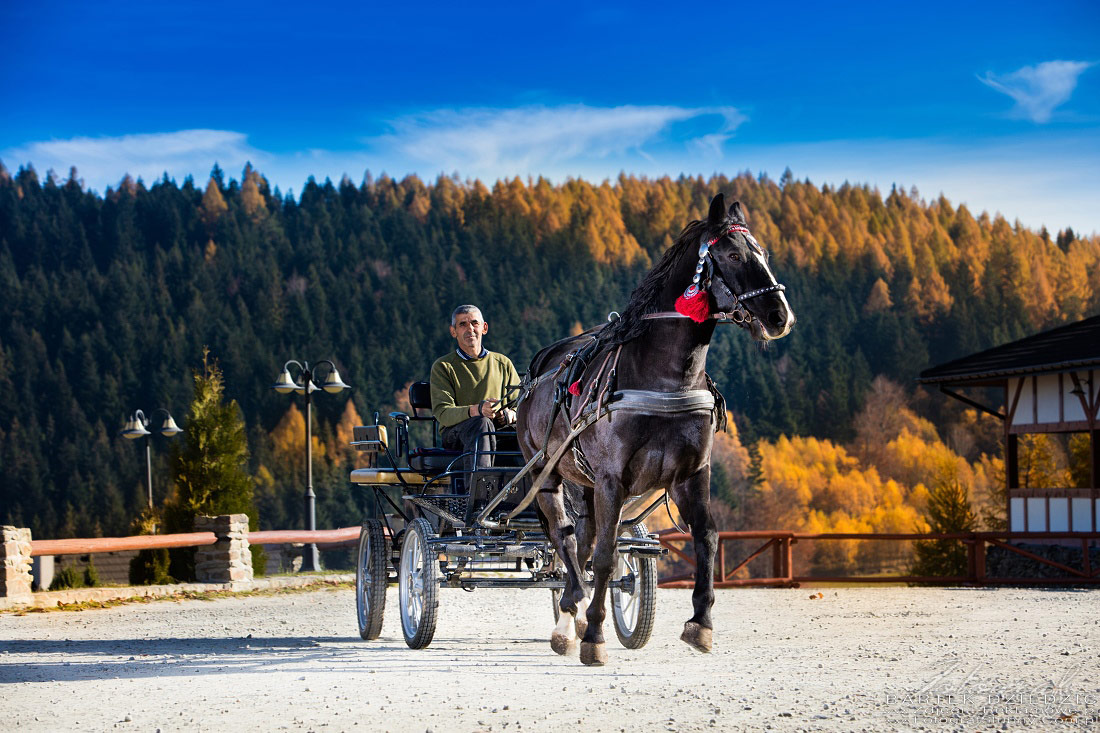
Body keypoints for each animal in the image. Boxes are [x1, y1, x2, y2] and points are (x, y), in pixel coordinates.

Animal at [514, 192, 792, 660]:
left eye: (764, 254)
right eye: (733, 255)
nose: (779, 315)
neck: (664, 379)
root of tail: (540, 368)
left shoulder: (691, 474)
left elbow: (707, 537)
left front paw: (700, 622)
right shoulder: (612, 478)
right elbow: (607, 555)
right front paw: (595, 635)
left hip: (584, 482)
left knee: (582, 538)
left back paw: (570, 612)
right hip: (546, 473)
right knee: (566, 539)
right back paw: (573, 615)